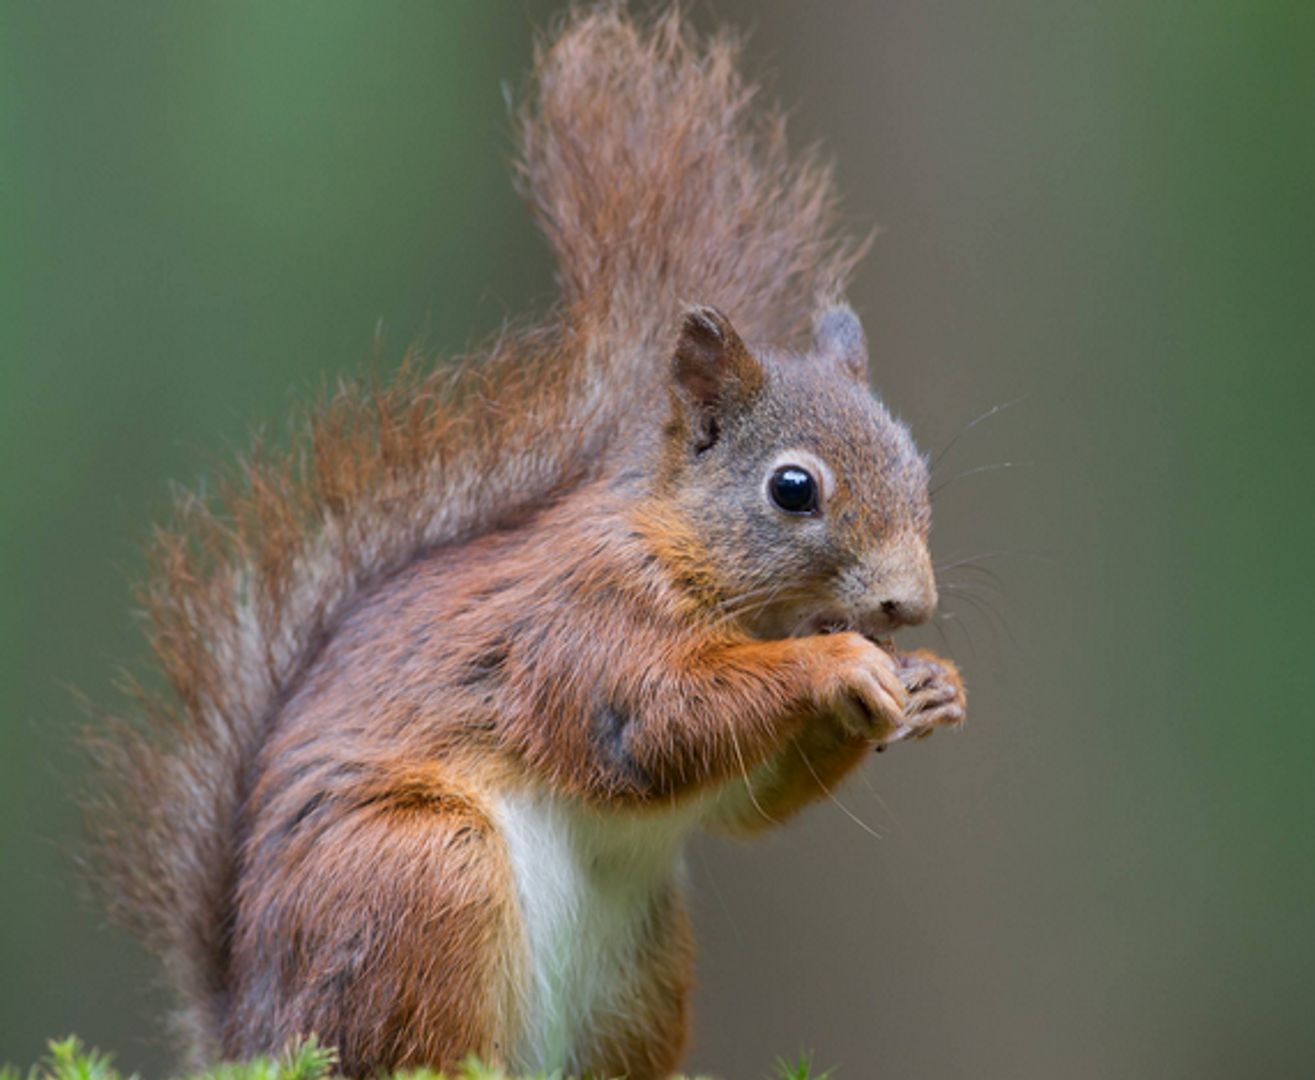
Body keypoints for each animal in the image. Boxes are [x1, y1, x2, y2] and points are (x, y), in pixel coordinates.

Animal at [84, 8, 967, 1078]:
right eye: (792, 489)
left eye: (919, 467)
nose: (910, 604)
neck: (698, 566)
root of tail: (256, 1029)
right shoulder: (579, 626)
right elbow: (656, 726)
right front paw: (837, 663)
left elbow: (746, 804)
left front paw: (931, 684)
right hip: (420, 874)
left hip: (641, 969)